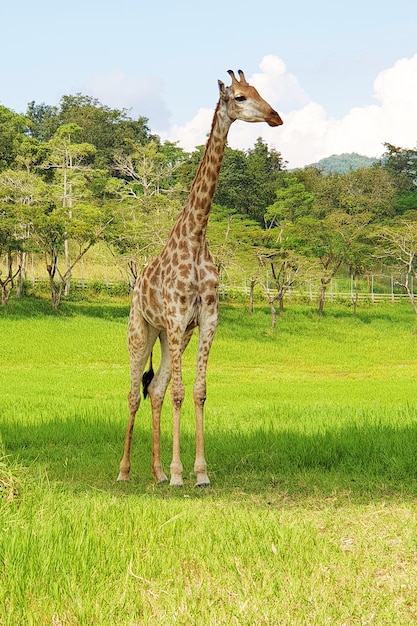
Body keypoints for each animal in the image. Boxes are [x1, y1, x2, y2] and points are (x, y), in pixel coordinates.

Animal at [117, 69, 282, 488]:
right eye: (239, 97)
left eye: (259, 91)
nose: (275, 116)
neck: (195, 238)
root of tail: (135, 287)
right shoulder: (177, 317)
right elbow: (179, 392)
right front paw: (180, 474)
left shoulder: (206, 319)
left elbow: (198, 390)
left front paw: (200, 472)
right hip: (142, 330)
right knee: (134, 392)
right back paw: (126, 471)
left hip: (169, 336)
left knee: (155, 389)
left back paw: (156, 472)